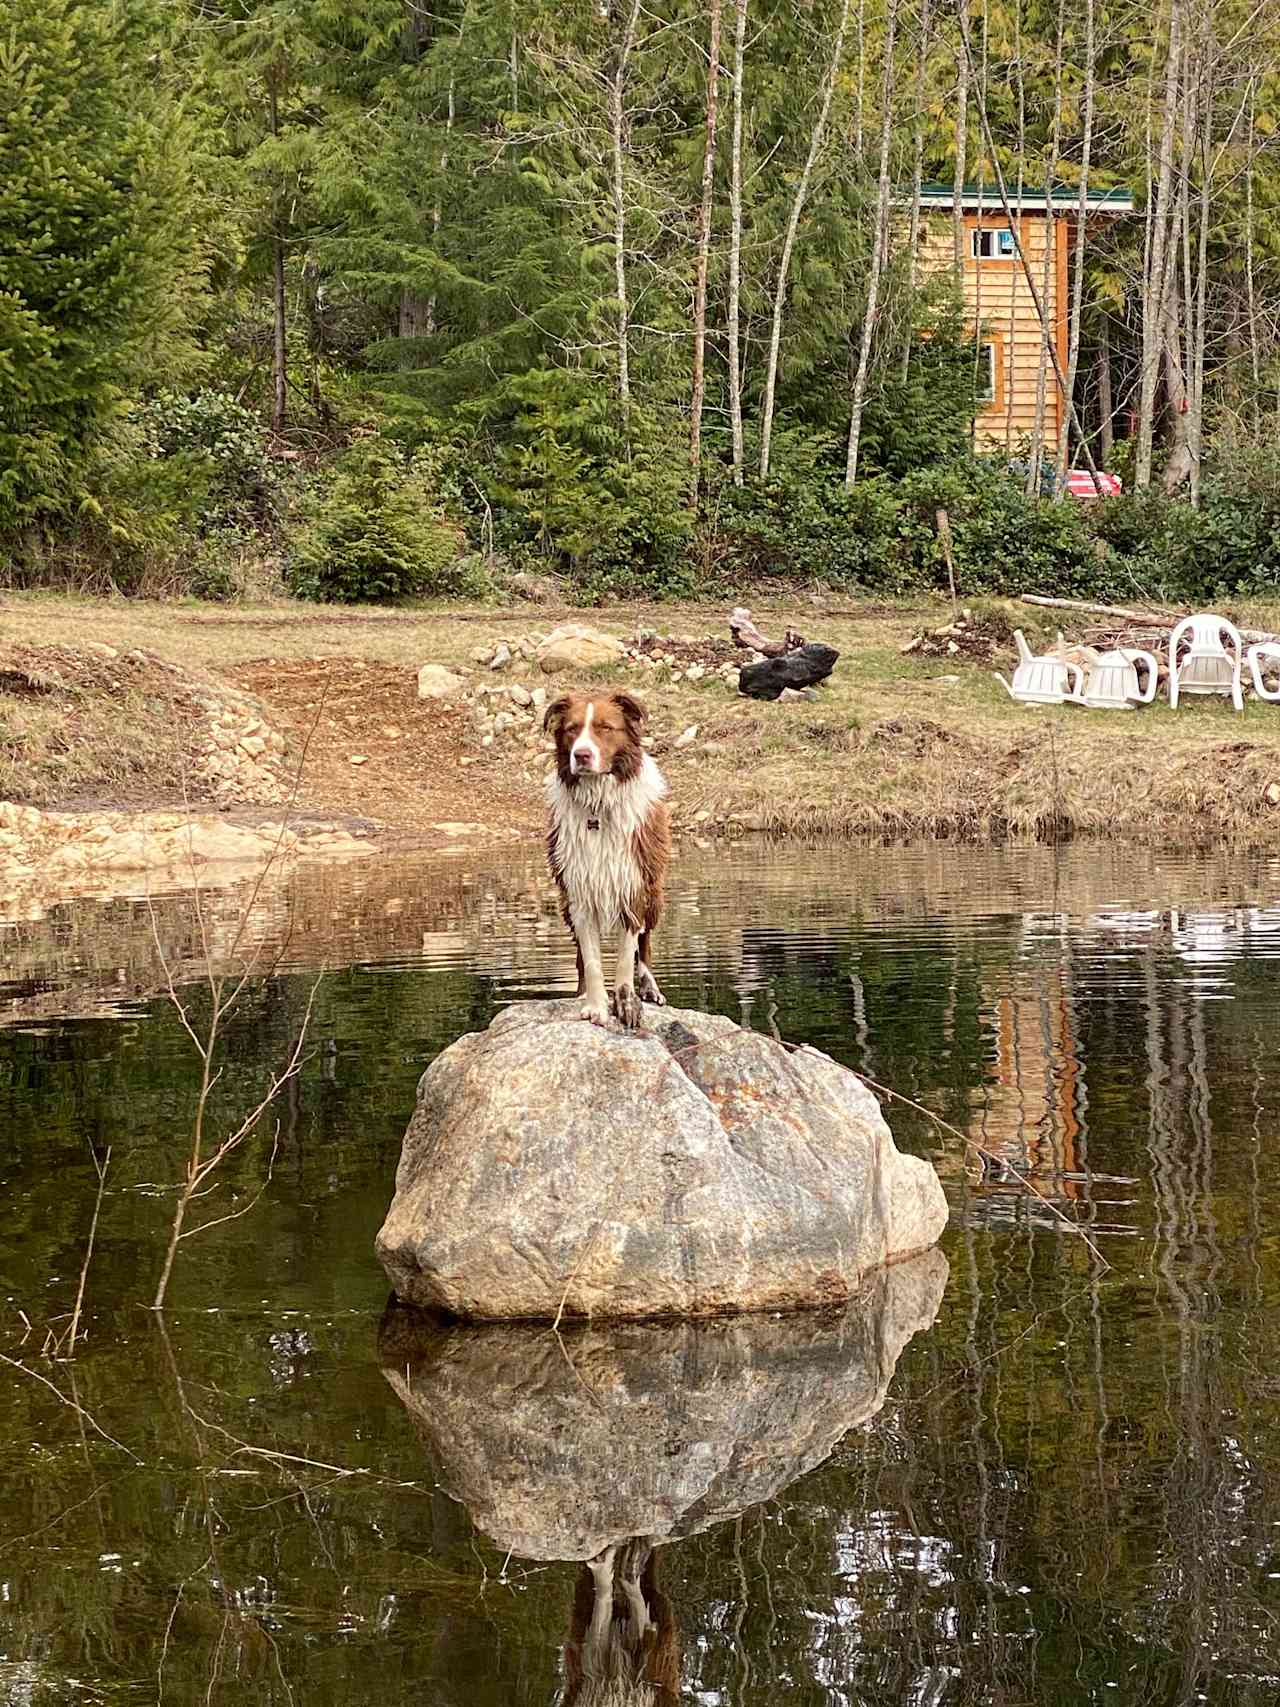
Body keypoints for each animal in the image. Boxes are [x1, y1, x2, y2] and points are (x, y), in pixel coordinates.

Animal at [546, 689, 675, 1024]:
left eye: (605, 728)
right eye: (571, 729)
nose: (581, 755)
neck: (598, 805)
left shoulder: (632, 883)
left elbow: (626, 955)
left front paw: (626, 1002)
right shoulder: (578, 889)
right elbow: (591, 958)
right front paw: (595, 1004)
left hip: (654, 894)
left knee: (645, 944)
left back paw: (650, 987)